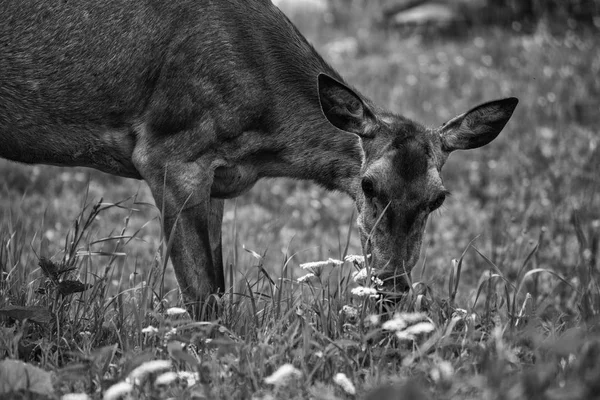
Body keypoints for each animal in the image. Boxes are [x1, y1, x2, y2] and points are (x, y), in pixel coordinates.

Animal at [0, 0, 516, 318]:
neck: (264, 142)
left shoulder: (216, 178)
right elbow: (202, 297)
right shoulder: (168, 149)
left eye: (438, 199)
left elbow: (219, 285)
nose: (392, 287)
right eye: (369, 184)